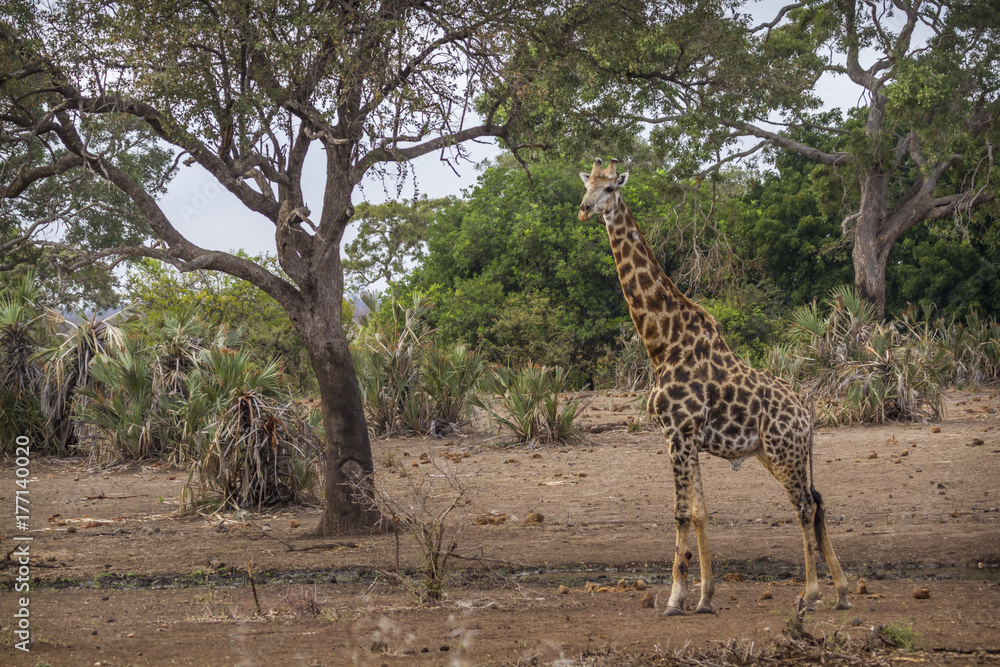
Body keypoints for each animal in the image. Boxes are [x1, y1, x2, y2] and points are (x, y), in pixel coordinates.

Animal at [578, 157, 851, 615]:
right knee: (817, 501)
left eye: (610, 188)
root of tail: (806, 413)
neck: (662, 344)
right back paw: (843, 592)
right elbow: (701, 511)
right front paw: (705, 596)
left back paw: (811, 593)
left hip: (784, 450)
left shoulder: (677, 432)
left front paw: (674, 598)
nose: (583, 209)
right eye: (587, 185)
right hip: (772, 453)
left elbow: (680, 512)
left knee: (803, 504)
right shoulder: (686, 437)